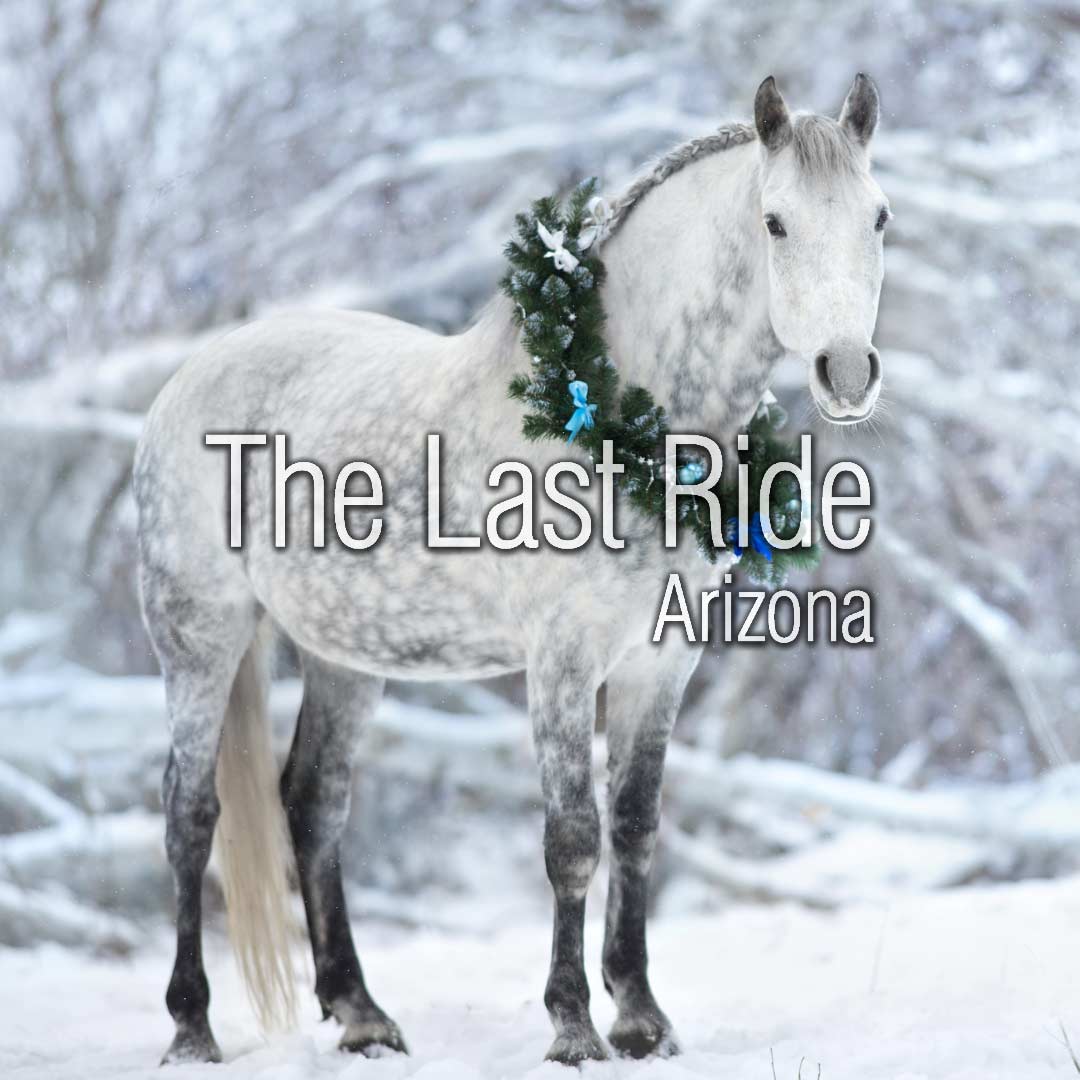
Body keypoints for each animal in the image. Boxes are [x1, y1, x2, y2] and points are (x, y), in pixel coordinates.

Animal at [134, 73, 888, 1067]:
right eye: (775, 222)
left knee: (314, 803)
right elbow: (572, 838)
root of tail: (189, 377)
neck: (616, 416)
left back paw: (361, 1013)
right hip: (201, 636)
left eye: (879, 216)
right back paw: (191, 1029)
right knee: (191, 814)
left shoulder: (660, 662)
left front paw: (642, 1018)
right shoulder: (561, 662)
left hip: (345, 654)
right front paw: (572, 1027)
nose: (848, 373)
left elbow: (635, 827)